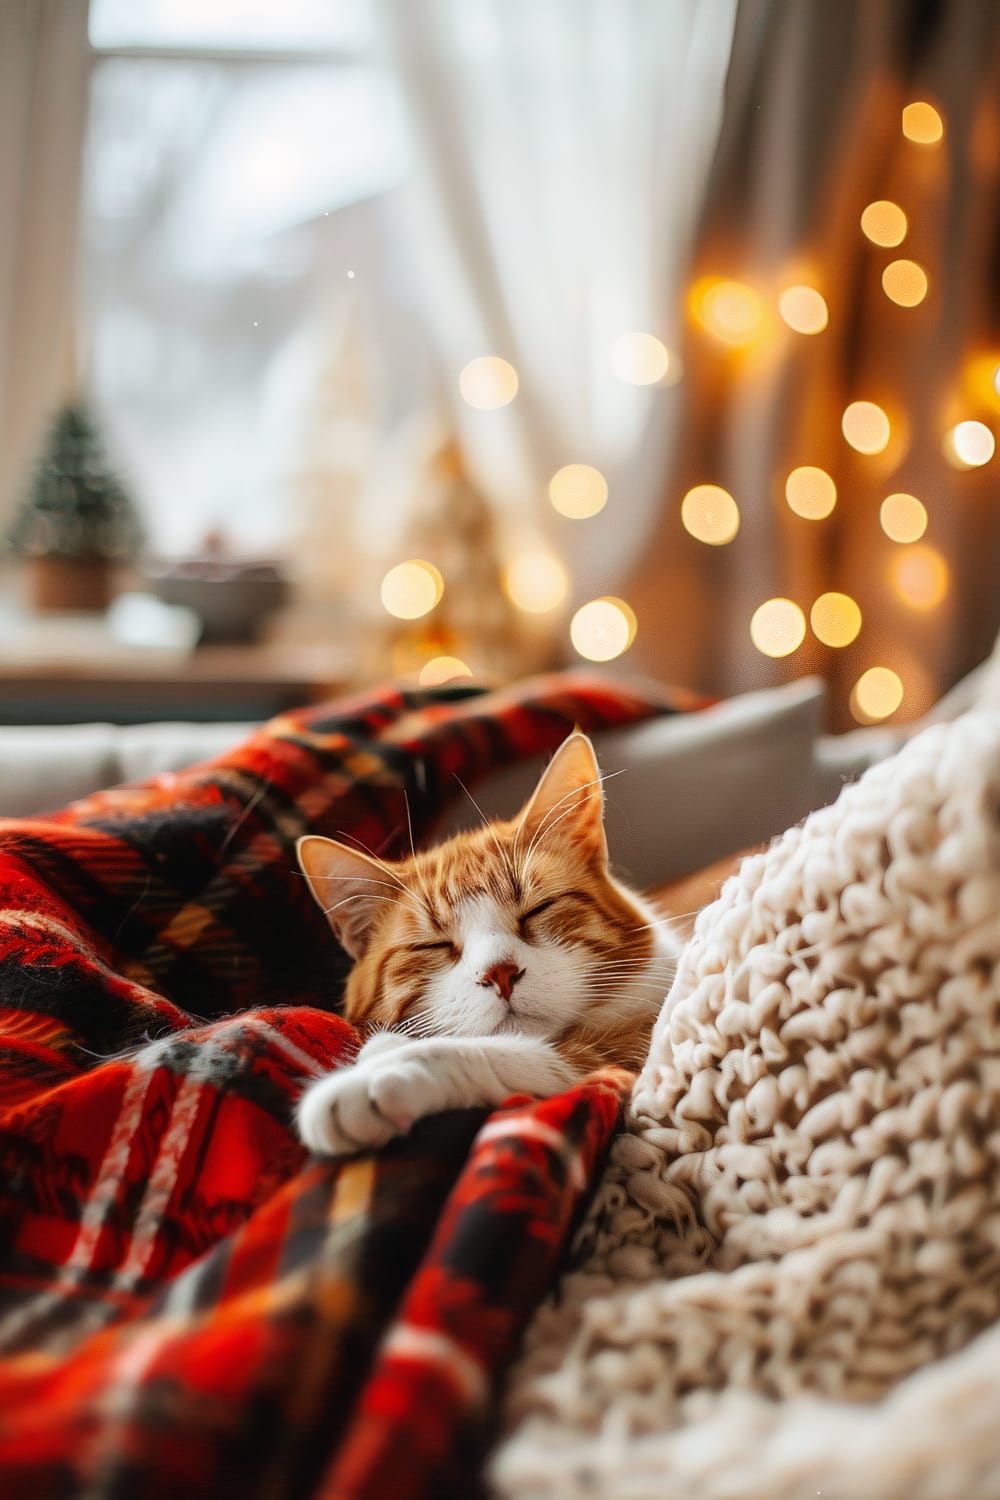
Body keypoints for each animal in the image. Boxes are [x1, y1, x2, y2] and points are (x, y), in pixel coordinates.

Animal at [293, 732, 677, 1152]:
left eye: (536, 911)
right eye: (434, 945)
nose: (500, 973)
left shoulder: (628, 1050)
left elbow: (504, 1053)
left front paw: (373, 1076)